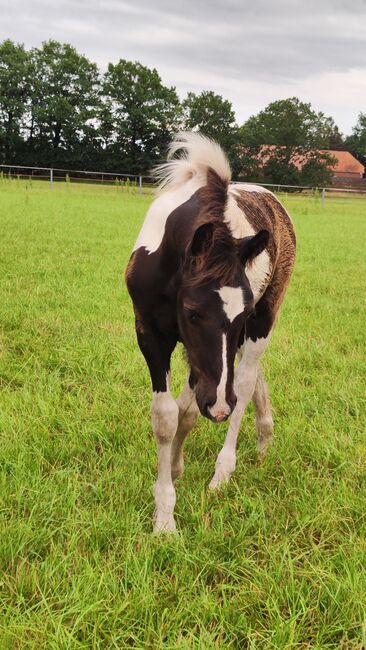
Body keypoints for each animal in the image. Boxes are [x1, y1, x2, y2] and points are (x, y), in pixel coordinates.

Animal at [125, 132, 294, 532]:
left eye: (242, 311)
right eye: (192, 312)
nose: (218, 409)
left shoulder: (222, 342)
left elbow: (188, 409)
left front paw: (165, 509)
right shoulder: (152, 334)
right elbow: (169, 416)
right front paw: (167, 501)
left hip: (264, 321)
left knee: (244, 383)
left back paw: (223, 472)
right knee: (246, 379)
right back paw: (263, 438)